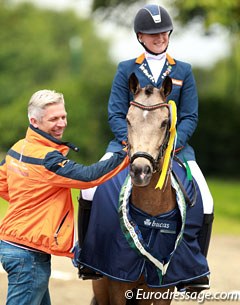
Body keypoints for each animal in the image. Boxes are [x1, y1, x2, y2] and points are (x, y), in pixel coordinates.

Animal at [78, 73, 208, 304]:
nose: (140, 171)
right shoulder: (117, 282)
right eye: (128, 120)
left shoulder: (162, 287)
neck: (152, 211)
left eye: (165, 122)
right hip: (101, 286)